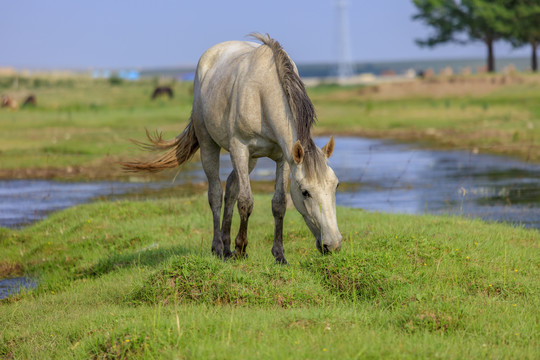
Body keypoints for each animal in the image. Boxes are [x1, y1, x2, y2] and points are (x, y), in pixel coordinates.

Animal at [122, 34, 342, 264]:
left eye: (336, 186)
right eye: (305, 192)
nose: (333, 244)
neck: (262, 94)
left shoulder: (283, 157)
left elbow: (279, 204)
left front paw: (279, 255)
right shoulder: (240, 148)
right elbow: (246, 202)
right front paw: (241, 248)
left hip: (251, 159)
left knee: (230, 189)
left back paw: (226, 246)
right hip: (210, 145)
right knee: (216, 193)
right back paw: (219, 248)